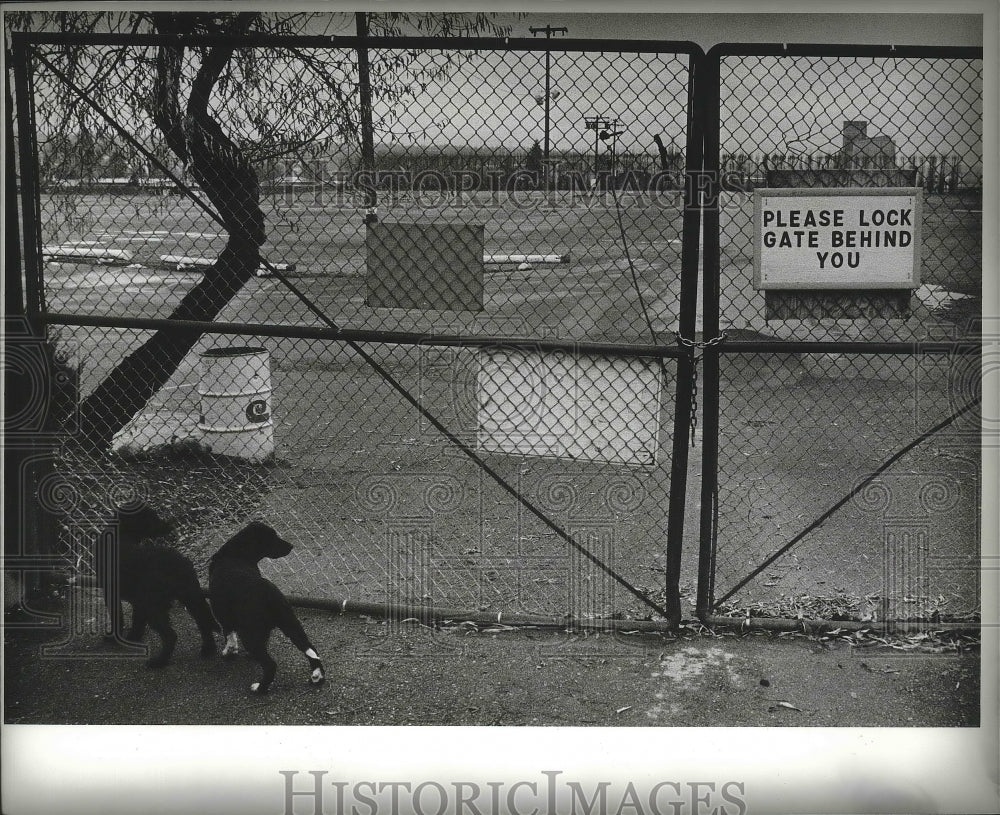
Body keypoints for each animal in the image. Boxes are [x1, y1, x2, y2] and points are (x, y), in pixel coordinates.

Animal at [95, 500, 219, 668]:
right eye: (152, 518)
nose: (169, 526)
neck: (121, 535)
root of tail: (178, 562)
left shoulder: (113, 594)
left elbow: (119, 619)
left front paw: (115, 637)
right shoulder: (137, 600)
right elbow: (137, 620)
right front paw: (134, 637)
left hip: (155, 605)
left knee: (171, 635)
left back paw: (158, 662)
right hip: (190, 597)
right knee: (203, 621)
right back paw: (208, 649)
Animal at [207, 524, 324, 696]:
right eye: (272, 537)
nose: (291, 546)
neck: (235, 554)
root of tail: (271, 596)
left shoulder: (222, 614)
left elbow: (229, 634)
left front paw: (229, 652)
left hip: (250, 635)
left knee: (270, 665)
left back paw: (259, 688)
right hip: (292, 625)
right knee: (311, 650)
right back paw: (317, 676)